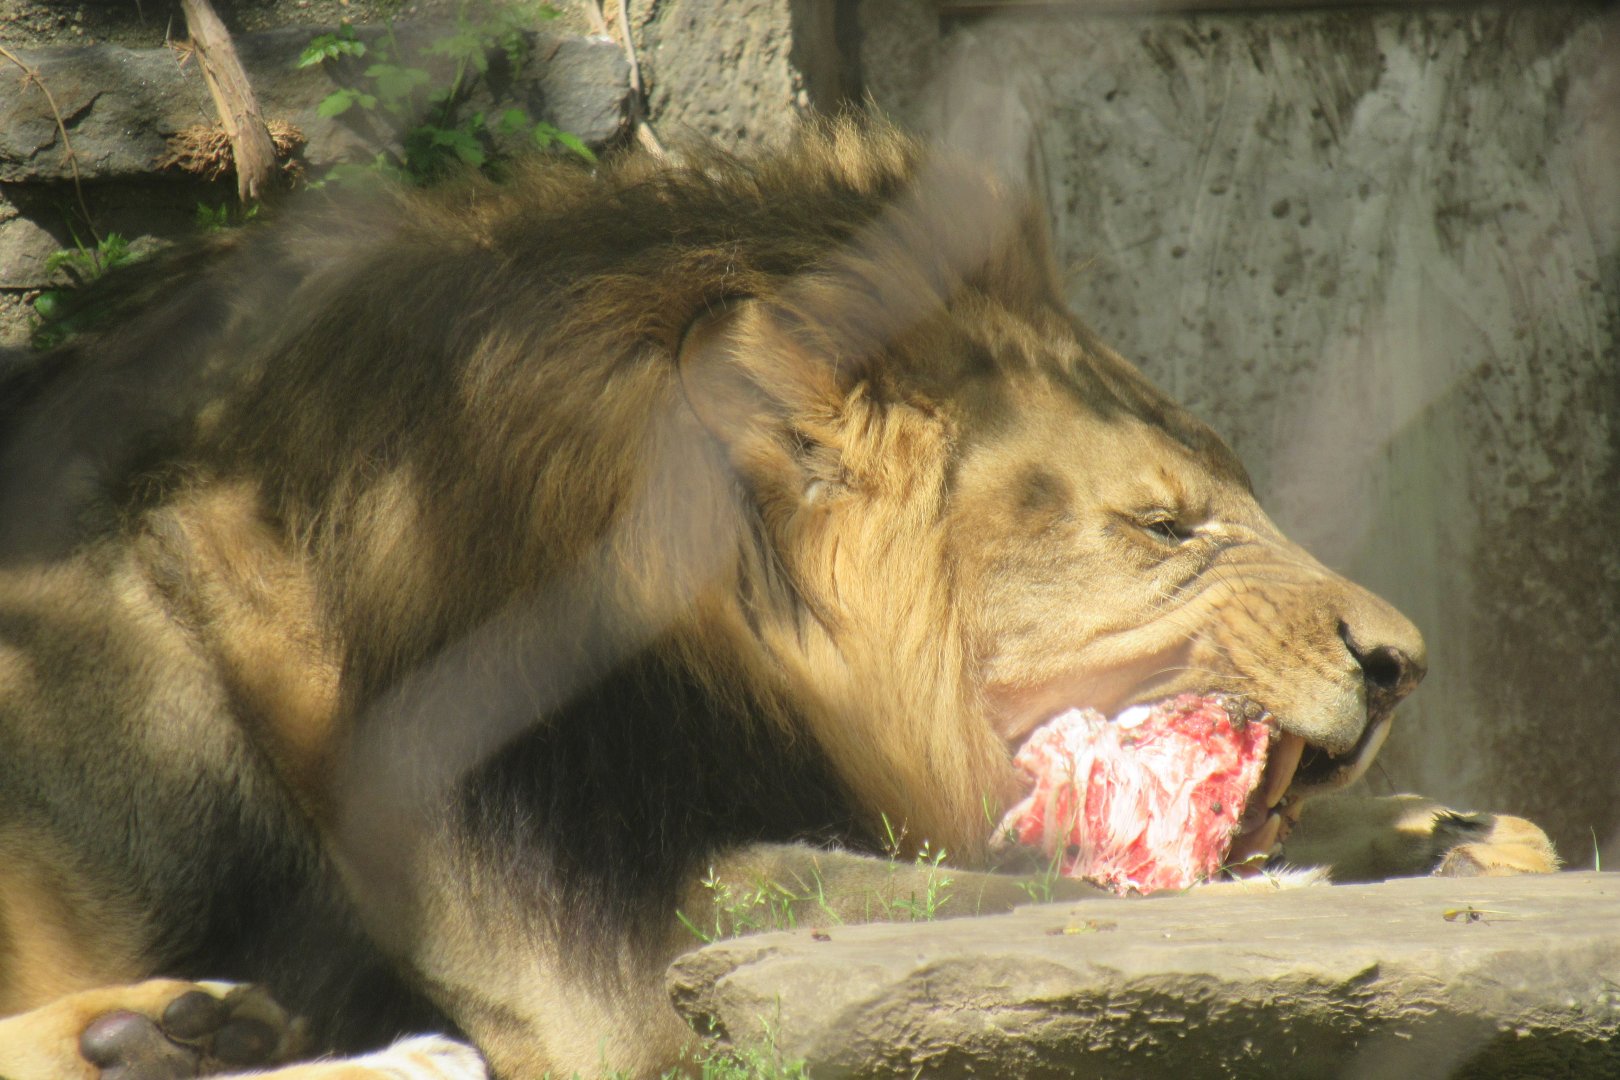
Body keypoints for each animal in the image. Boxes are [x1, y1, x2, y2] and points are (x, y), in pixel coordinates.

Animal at [0, 120, 1555, 1079]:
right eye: (1165, 525)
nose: (1403, 662)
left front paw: (1458, 832)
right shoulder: (570, 948)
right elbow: (956, 892)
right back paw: (167, 1030)